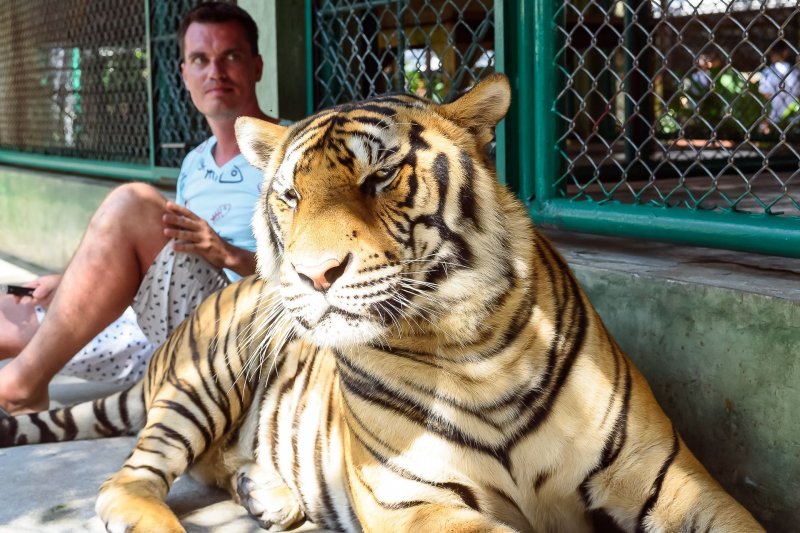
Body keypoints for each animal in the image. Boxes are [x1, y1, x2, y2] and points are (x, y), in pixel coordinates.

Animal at [0, 73, 762, 533]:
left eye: (381, 176)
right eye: (290, 195)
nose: (314, 275)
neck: (473, 347)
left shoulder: (663, 476)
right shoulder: (416, 501)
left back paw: (269, 494)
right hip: (203, 379)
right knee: (128, 479)